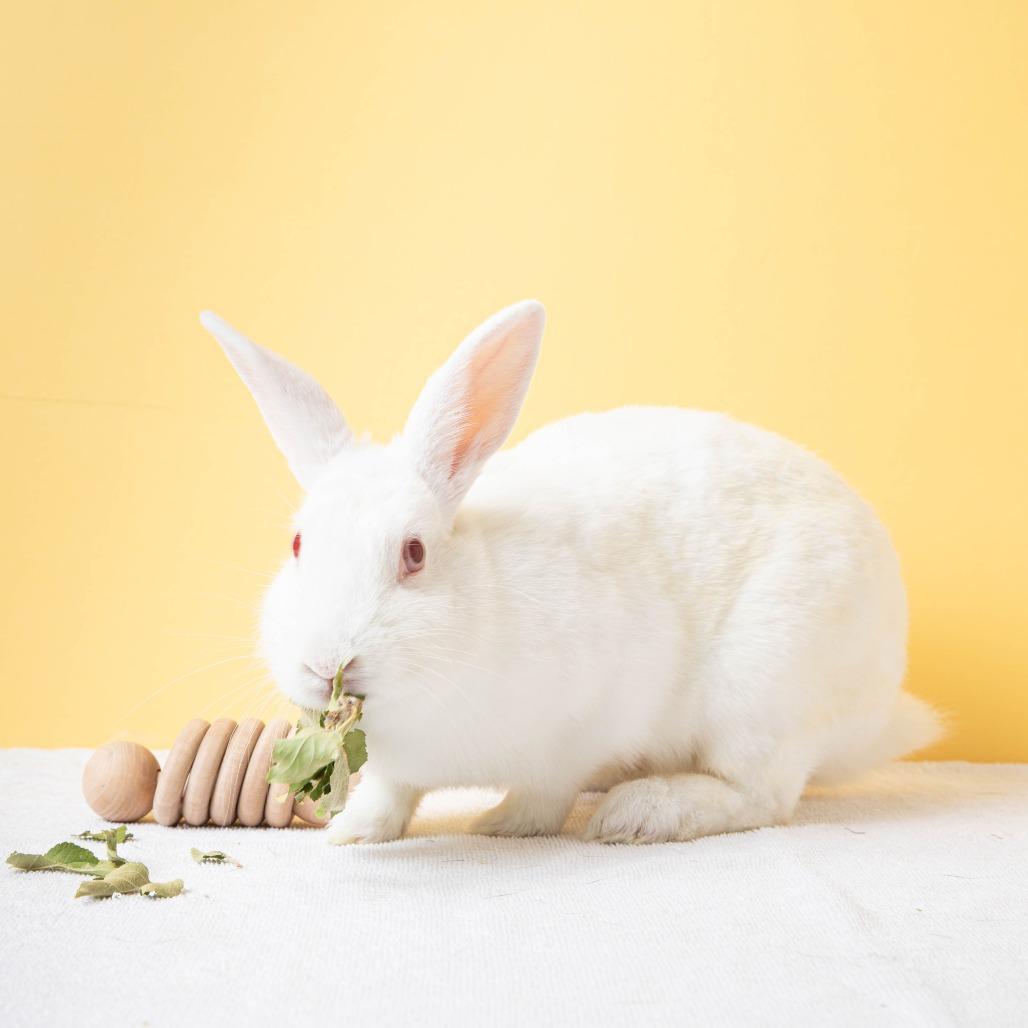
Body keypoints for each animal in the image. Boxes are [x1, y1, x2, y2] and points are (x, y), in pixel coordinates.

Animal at [200, 299, 942, 845]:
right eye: (298, 545)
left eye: (414, 553)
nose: (328, 665)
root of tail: (882, 705)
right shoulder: (395, 773)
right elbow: (389, 797)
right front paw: (352, 833)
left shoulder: (584, 723)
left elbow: (545, 790)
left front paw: (502, 824)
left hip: (765, 689)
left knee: (762, 795)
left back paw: (639, 813)